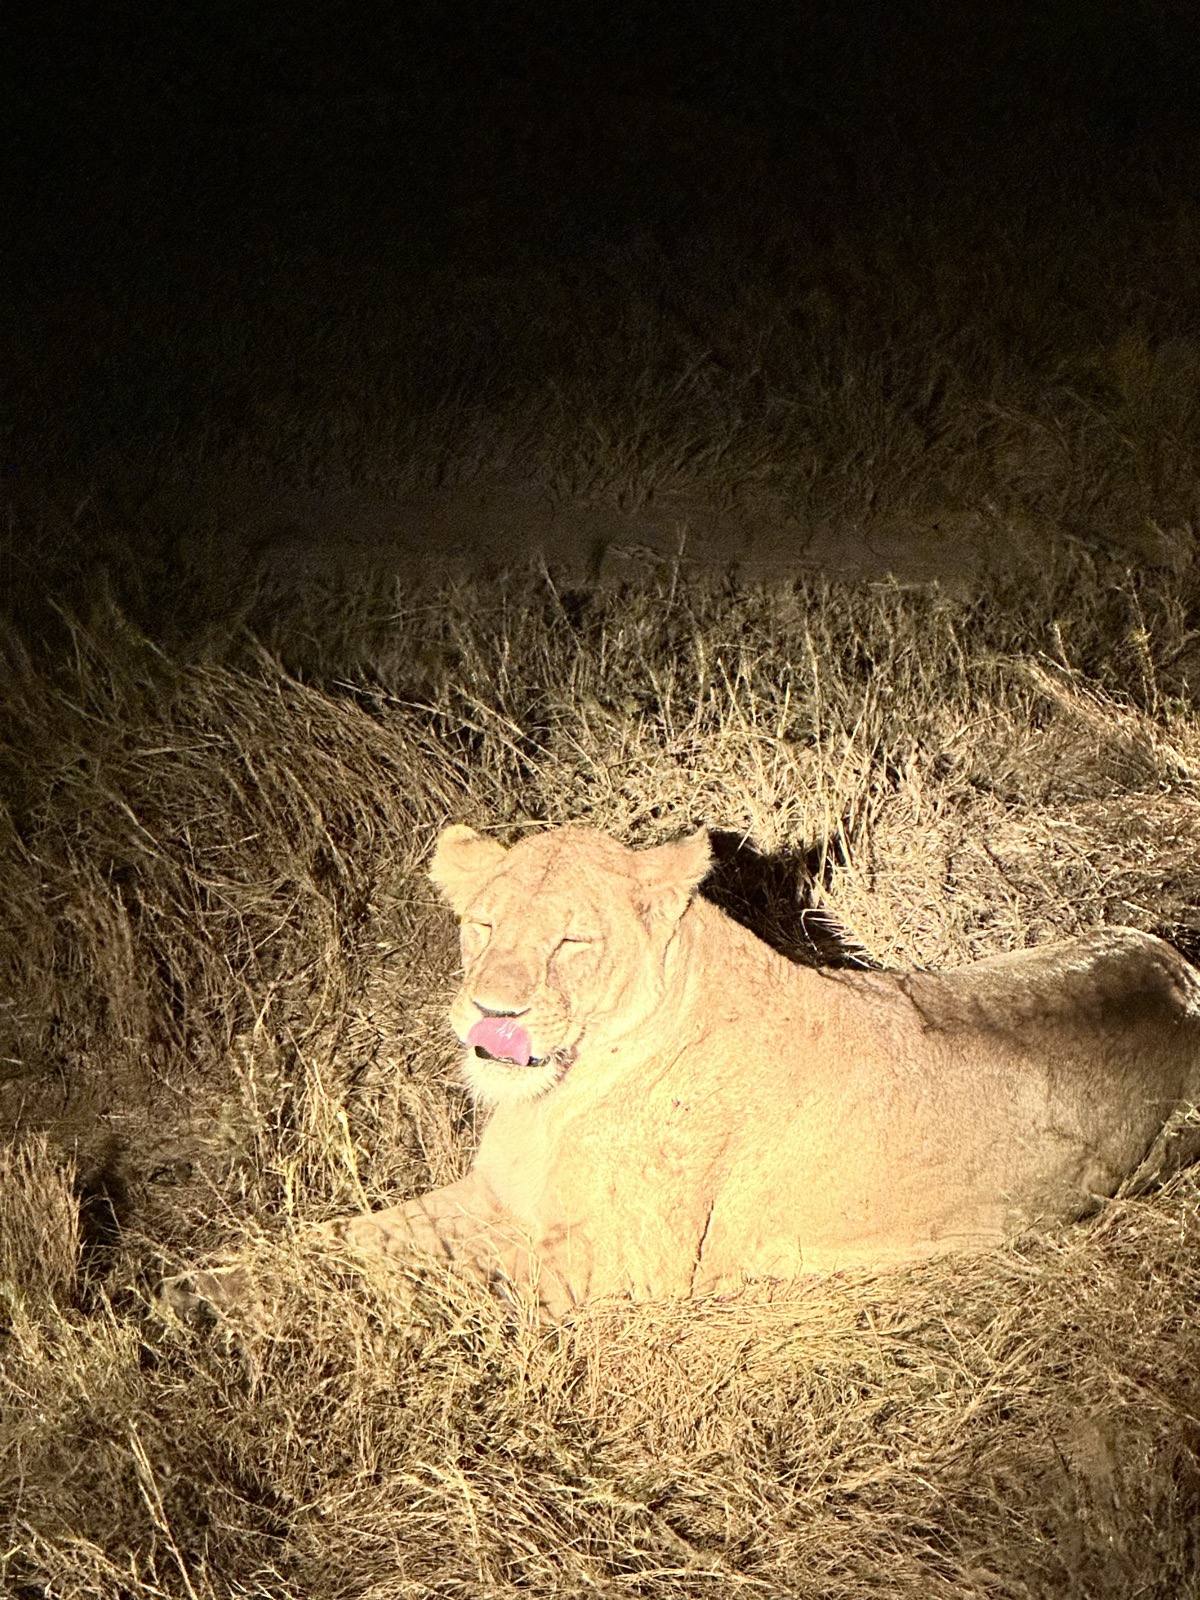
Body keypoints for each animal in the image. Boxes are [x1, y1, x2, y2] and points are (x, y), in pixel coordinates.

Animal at [175, 823, 1200, 1322]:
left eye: (572, 941)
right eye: (483, 925)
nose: (493, 1016)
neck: (558, 1097)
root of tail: (1178, 969)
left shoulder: (627, 1263)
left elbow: (427, 1280)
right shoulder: (496, 1197)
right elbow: (360, 1238)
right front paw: (207, 1282)